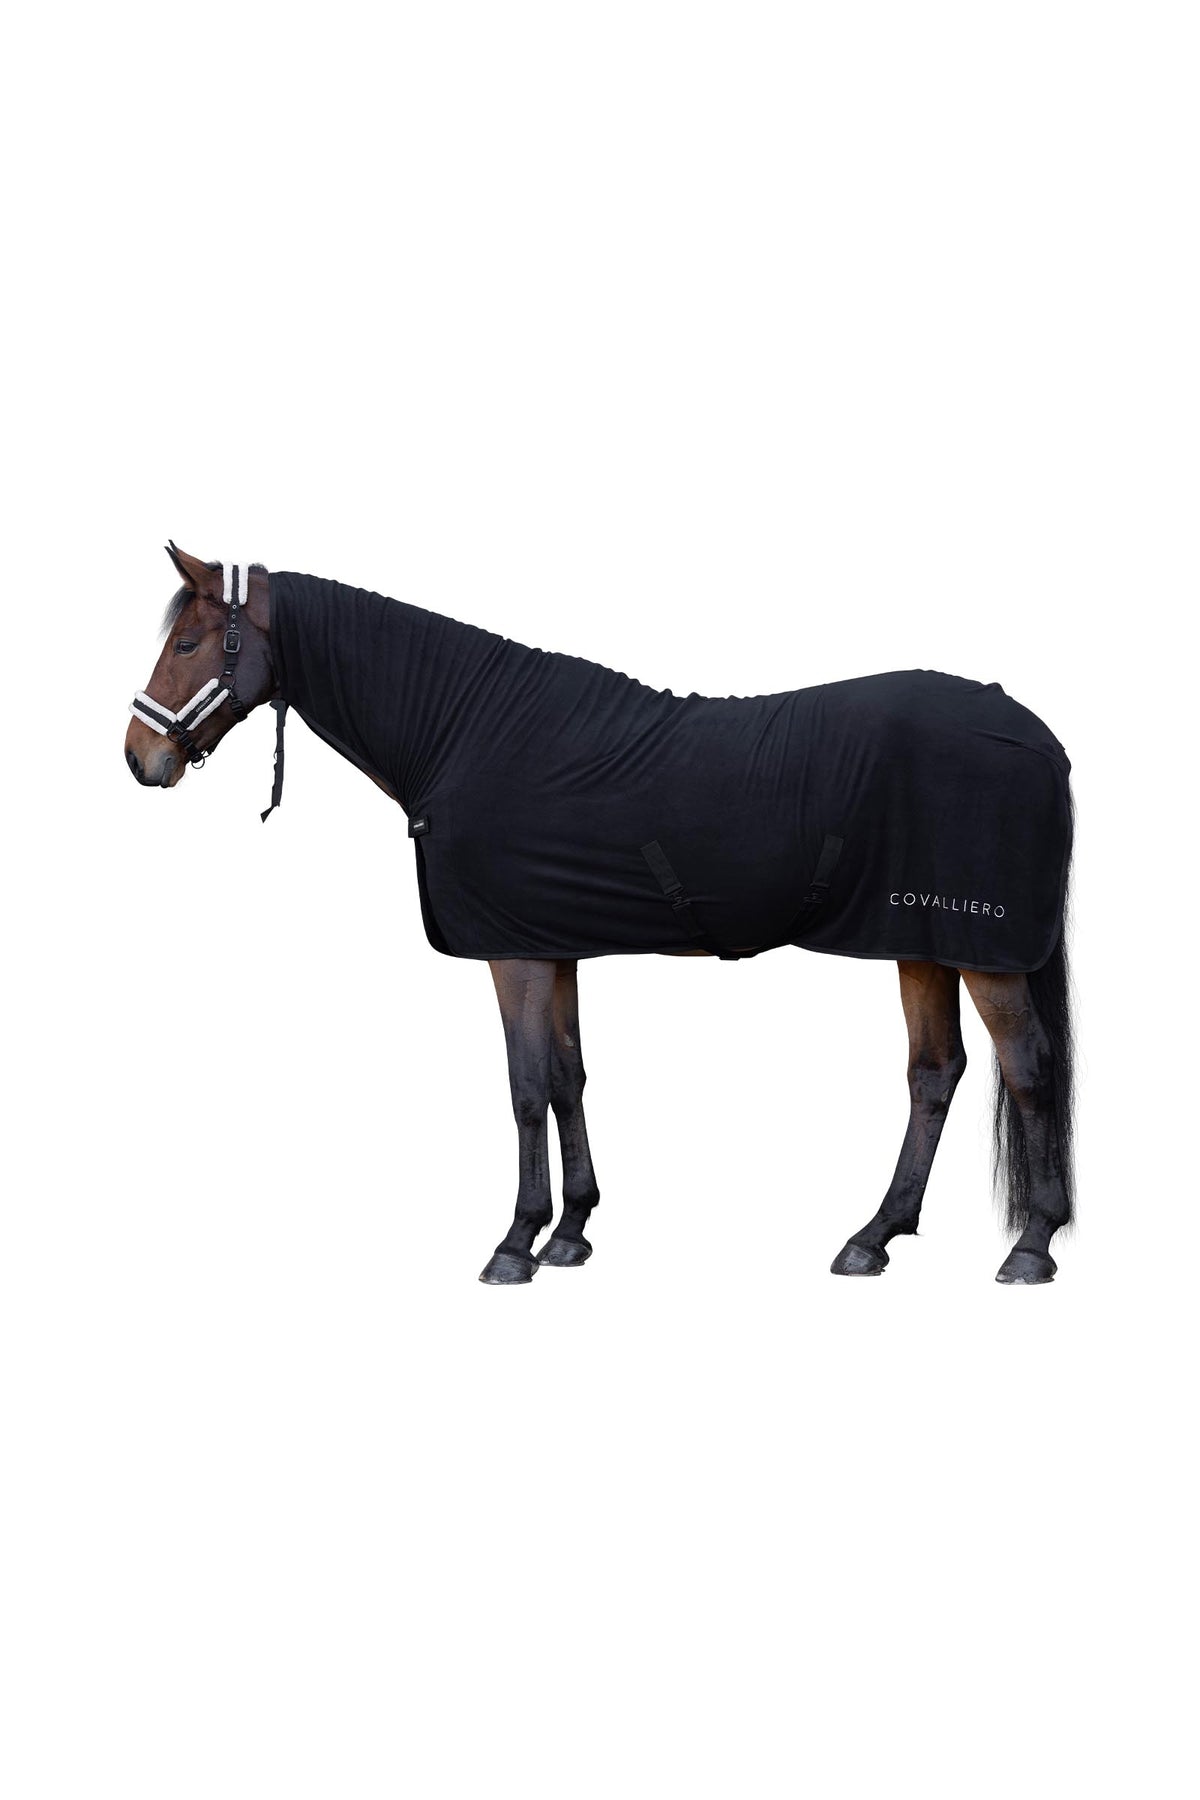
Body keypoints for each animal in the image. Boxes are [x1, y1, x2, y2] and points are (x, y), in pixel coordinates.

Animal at [126, 545, 1075, 1287]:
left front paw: (515, 1243)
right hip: (918, 941)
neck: (468, 732)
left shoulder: (511, 953)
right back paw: (873, 1237)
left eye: (188, 642)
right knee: (934, 1073)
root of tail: (1034, 733)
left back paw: (1031, 1246)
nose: (140, 759)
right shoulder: (553, 946)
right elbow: (567, 1076)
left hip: (982, 950)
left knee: (1029, 1069)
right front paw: (572, 1232)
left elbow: (523, 1087)